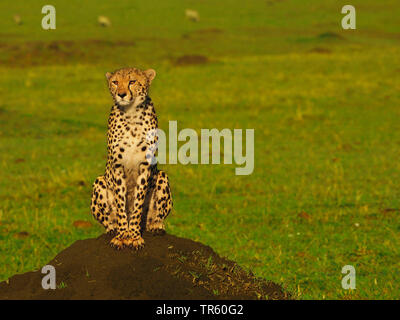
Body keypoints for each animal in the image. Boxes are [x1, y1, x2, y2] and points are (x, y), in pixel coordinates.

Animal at [90, 67, 172, 250]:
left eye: (132, 81)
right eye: (115, 82)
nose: (121, 94)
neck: (131, 114)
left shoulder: (145, 165)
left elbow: (137, 203)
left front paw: (133, 235)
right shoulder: (118, 166)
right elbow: (121, 205)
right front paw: (122, 235)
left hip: (162, 176)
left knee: (154, 218)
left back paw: (156, 226)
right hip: (99, 181)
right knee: (109, 220)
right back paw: (112, 228)